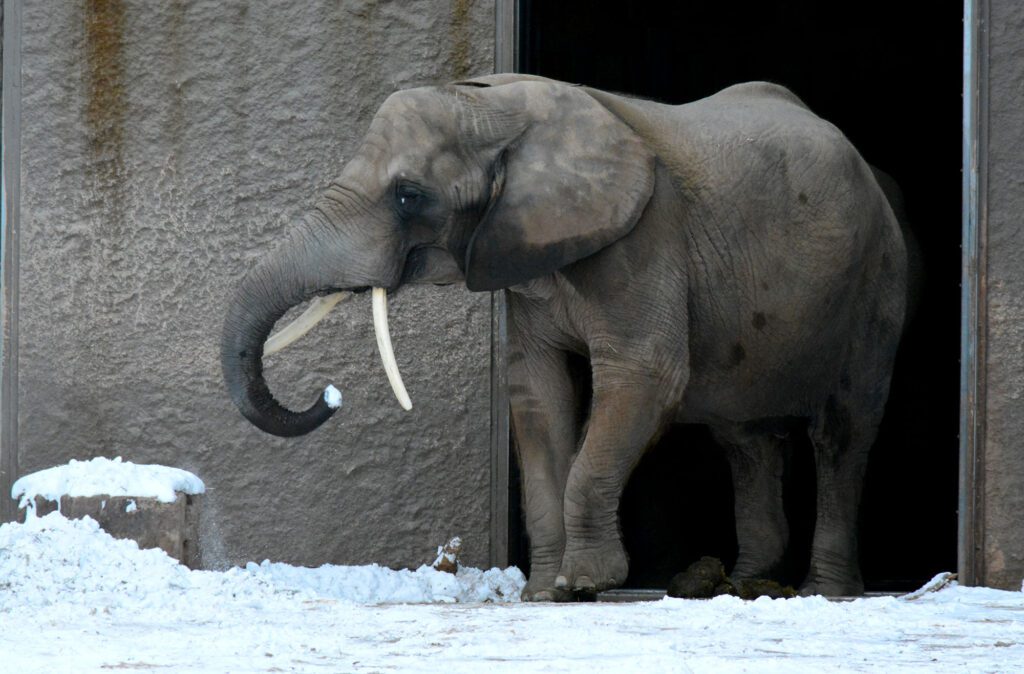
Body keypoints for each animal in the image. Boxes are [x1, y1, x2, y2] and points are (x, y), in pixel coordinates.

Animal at [221, 73, 908, 601]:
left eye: (409, 195)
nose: (329, 395)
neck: (500, 107)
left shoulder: (645, 235)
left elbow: (645, 376)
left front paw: (582, 584)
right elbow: (538, 391)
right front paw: (542, 593)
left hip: (877, 282)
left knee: (843, 431)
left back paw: (823, 591)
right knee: (745, 438)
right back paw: (741, 585)